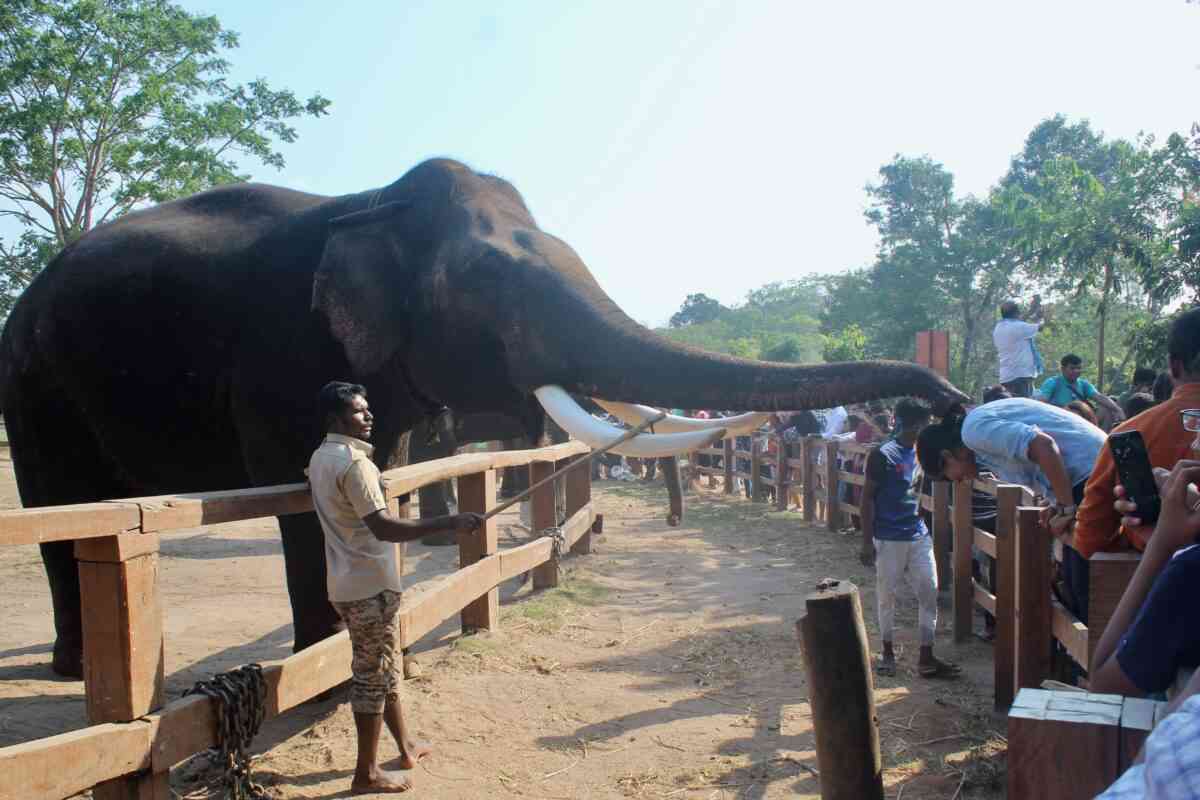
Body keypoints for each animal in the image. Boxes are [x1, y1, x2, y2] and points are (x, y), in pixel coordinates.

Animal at [0, 157, 970, 677]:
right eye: (492, 283)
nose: (948, 408)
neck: (370, 201)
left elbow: (386, 469)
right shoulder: (280, 353)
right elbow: (302, 499)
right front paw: (321, 670)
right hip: (30, 381)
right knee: (61, 513)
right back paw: (74, 666)